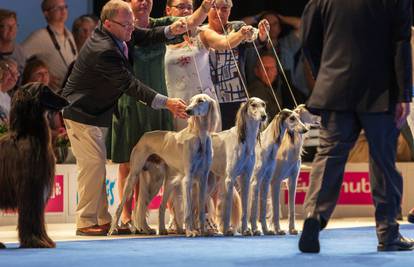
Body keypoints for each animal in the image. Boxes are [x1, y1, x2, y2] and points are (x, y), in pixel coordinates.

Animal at [0, 84, 68, 249]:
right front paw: (36, 240)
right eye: (45, 90)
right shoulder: (30, 187)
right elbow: (31, 214)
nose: (67, 101)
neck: (29, 136)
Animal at [108, 93, 222, 237]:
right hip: (134, 175)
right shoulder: (188, 179)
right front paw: (191, 231)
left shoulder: (203, 179)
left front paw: (203, 231)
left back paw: (152, 229)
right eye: (191, 101)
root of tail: (144, 136)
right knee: (122, 206)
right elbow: (188, 210)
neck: (199, 136)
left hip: (159, 181)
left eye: (201, 101)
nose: (187, 110)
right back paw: (113, 229)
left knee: (148, 205)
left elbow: (200, 209)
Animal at [212, 97, 266, 236]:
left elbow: (245, 208)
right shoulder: (229, 179)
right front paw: (227, 230)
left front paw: (246, 230)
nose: (264, 116)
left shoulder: (245, 178)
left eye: (263, 105)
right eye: (253, 105)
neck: (244, 140)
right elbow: (228, 208)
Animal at [249, 108, 308, 236]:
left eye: (299, 117)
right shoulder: (274, 182)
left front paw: (292, 229)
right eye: (292, 118)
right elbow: (275, 209)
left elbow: (292, 207)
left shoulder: (292, 181)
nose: (305, 129)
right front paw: (278, 229)